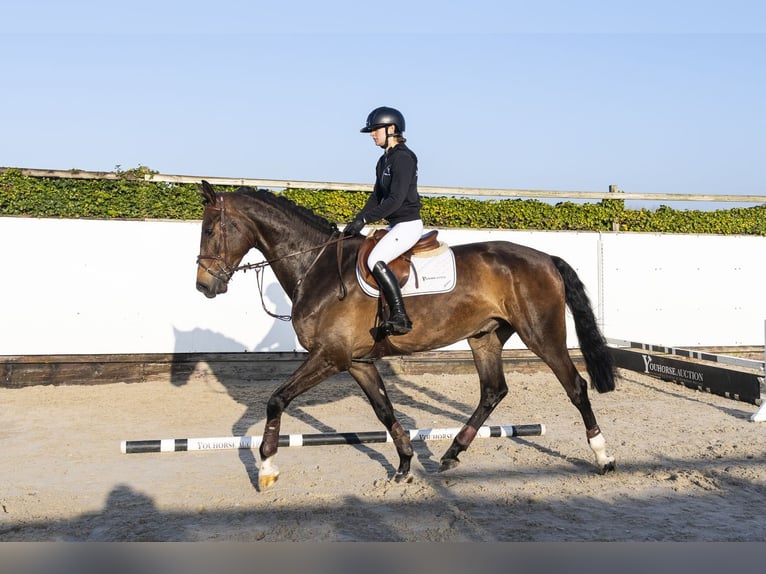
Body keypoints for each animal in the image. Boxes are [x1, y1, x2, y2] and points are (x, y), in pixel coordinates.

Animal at [195, 181, 616, 490]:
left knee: (575, 386)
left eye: (211, 229)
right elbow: (384, 410)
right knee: (493, 391)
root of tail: (545, 258)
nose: (204, 286)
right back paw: (451, 453)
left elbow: (276, 400)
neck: (317, 267)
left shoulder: (331, 356)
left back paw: (603, 456)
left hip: (541, 334)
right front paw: (403, 465)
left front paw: (266, 467)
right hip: (485, 336)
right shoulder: (357, 362)